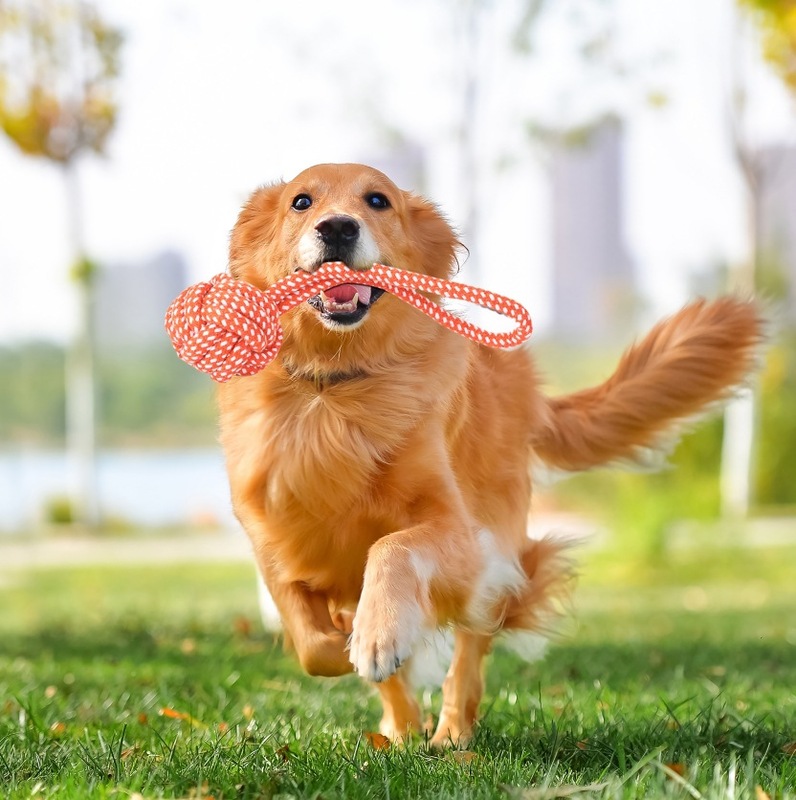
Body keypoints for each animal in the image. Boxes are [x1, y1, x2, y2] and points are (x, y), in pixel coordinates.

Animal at [218, 159, 764, 748]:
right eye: (301, 202)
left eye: (377, 200)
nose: (337, 227)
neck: (335, 386)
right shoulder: (274, 538)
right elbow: (310, 641)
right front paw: (355, 647)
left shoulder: (459, 534)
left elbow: (391, 548)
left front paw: (377, 636)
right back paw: (401, 729)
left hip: (494, 549)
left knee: (469, 655)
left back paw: (451, 734)